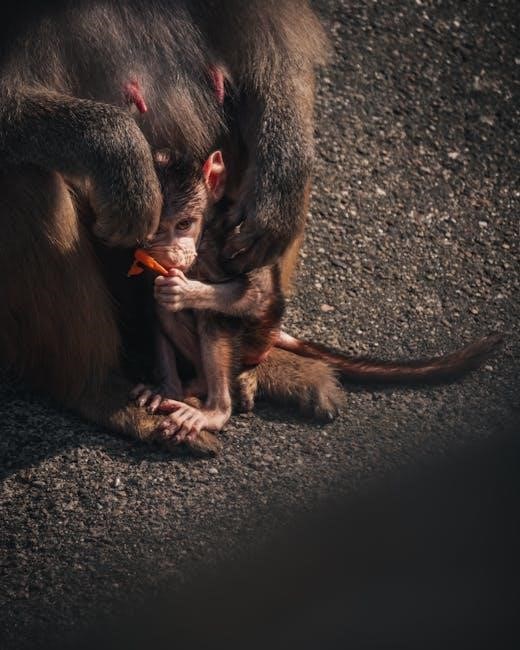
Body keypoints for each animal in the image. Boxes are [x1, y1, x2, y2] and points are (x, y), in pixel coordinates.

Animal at [0, 1, 328, 455]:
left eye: (186, 224)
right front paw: (121, 159)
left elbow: (272, 36)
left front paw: (279, 191)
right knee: (22, 176)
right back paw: (98, 388)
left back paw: (255, 362)